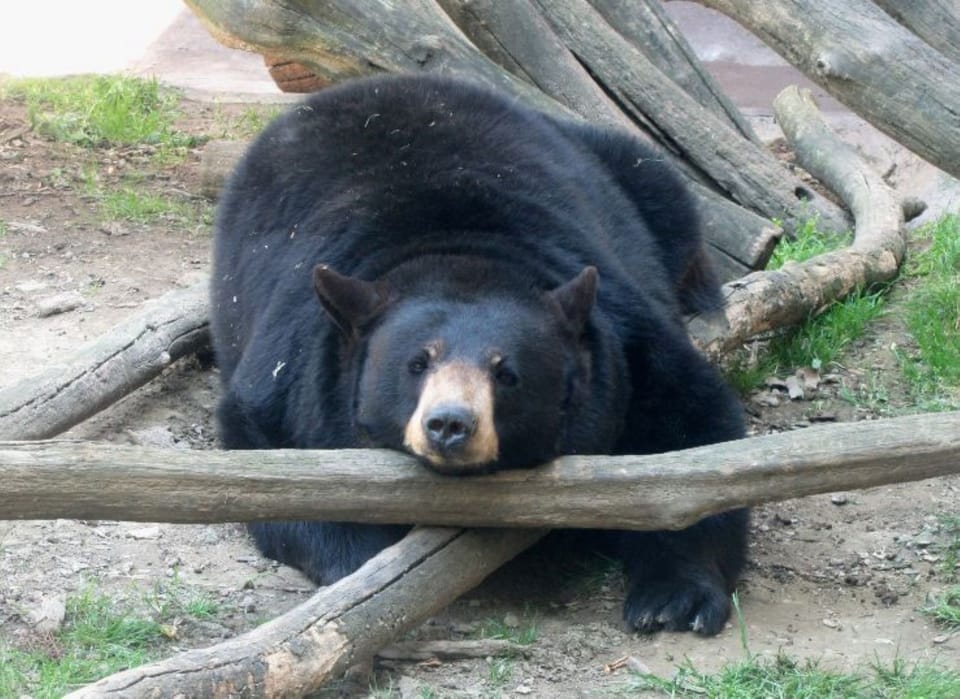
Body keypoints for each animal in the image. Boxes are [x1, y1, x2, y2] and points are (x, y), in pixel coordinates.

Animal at [210, 73, 748, 636]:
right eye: (417, 364)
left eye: (507, 373)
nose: (450, 424)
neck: (456, 247)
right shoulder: (292, 368)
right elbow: (272, 465)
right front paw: (364, 558)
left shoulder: (629, 340)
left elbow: (691, 434)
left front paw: (676, 598)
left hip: (629, 173)